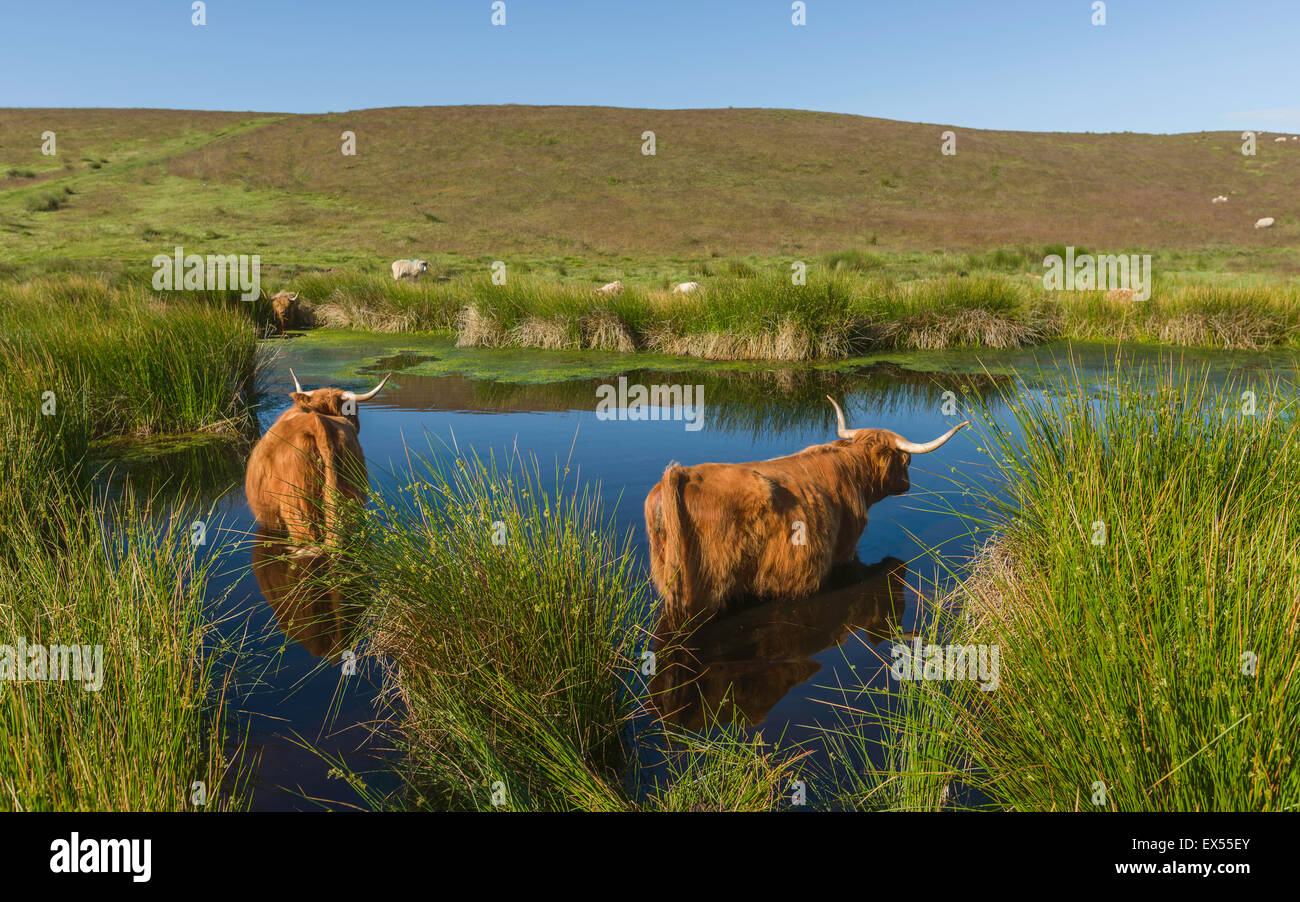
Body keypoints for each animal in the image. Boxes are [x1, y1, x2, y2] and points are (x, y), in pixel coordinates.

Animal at [644, 396, 968, 630]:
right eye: (906, 460)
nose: (907, 483)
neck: (853, 472)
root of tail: (680, 474)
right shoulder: (845, 548)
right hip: (705, 585)